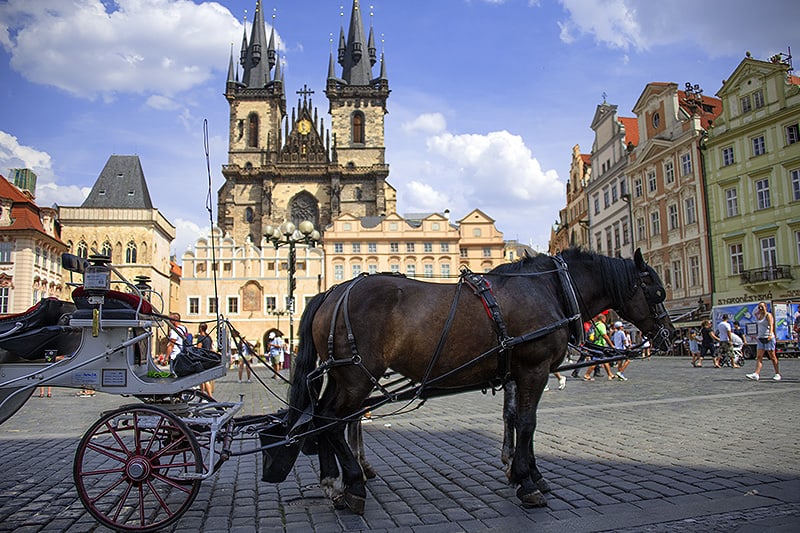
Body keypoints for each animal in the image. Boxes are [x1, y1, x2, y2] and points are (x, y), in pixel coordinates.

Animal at [260, 247, 672, 512]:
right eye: (657, 291)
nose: (669, 337)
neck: (551, 290)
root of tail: (333, 291)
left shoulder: (516, 373)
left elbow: (515, 420)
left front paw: (526, 473)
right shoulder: (533, 369)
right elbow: (527, 422)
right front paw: (526, 482)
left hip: (342, 376)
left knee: (321, 419)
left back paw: (335, 481)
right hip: (356, 376)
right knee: (331, 420)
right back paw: (353, 485)